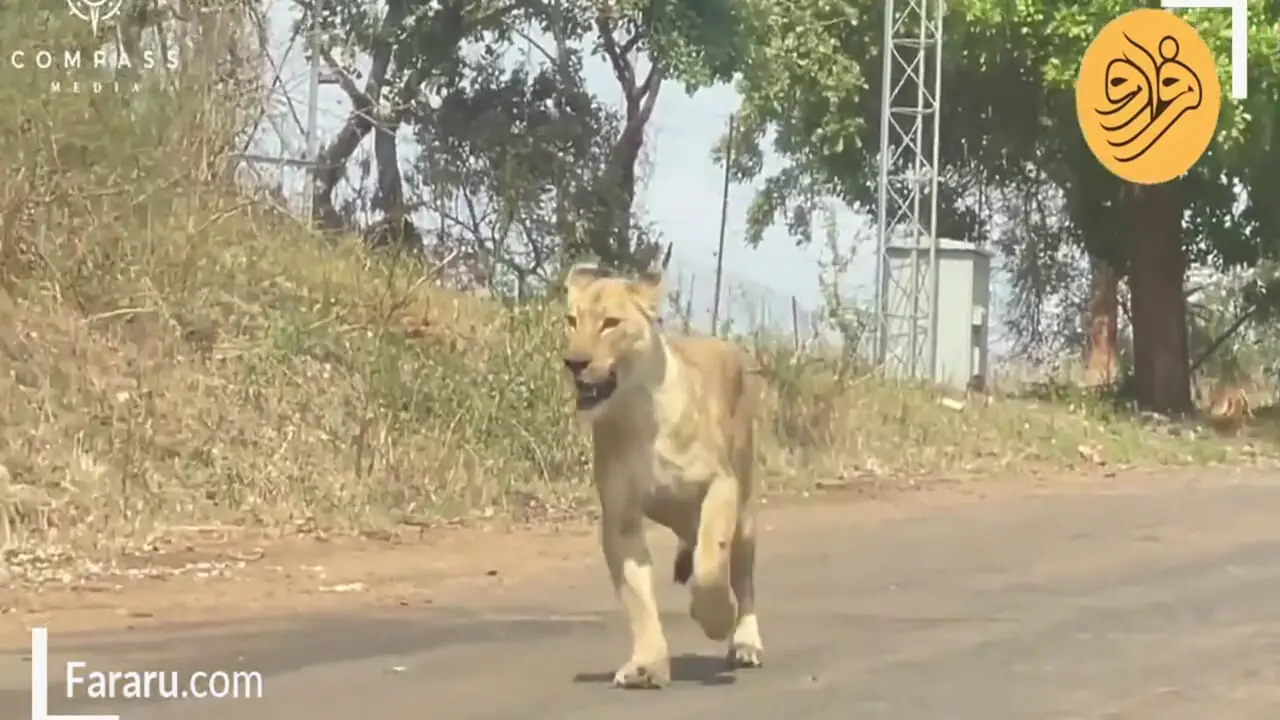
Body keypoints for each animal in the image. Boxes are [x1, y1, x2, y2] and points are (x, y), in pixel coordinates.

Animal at [560, 260, 757, 686]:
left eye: (610, 323)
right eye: (571, 321)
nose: (574, 362)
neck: (638, 413)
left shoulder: (721, 484)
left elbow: (711, 563)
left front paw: (715, 618)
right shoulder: (621, 520)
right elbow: (638, 600)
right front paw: (646, 665)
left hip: (745, 511)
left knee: (743, 578)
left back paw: (746, 643)